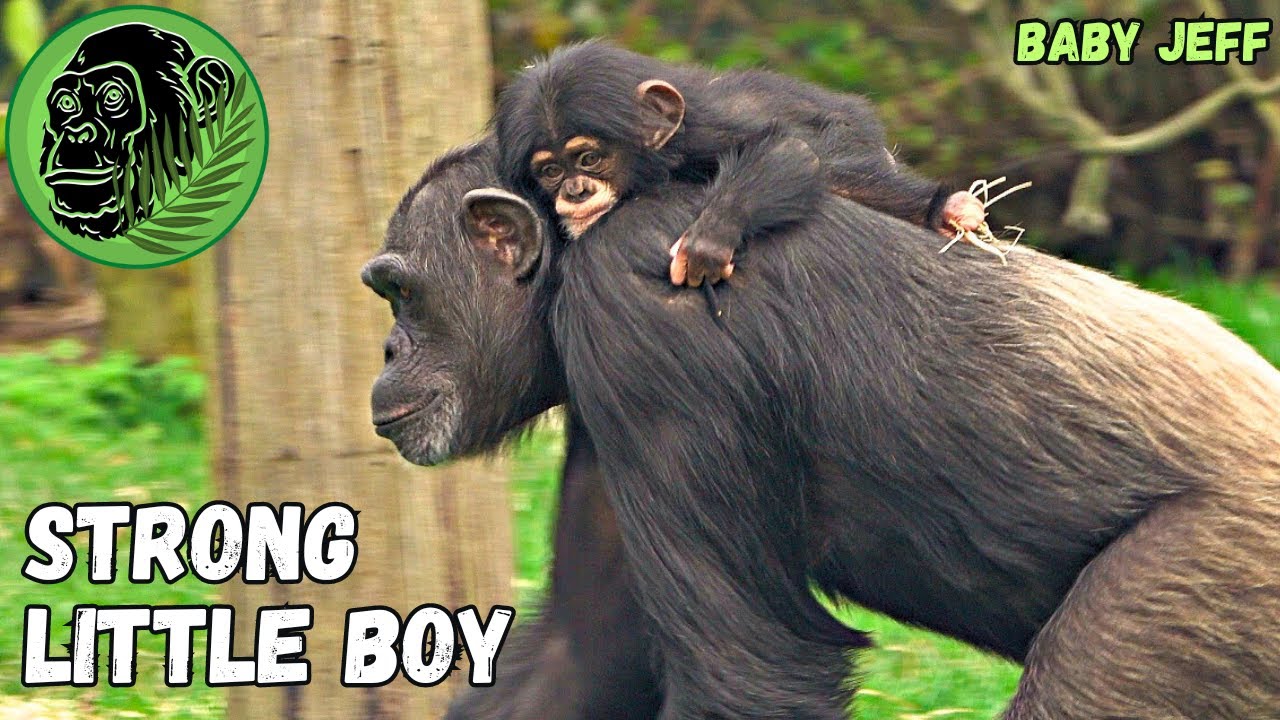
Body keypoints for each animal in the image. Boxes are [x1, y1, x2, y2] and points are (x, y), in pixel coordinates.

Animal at [365, 138, 1280, 719]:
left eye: (402, 293)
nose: (387, 347)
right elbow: (583, 653)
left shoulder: (641, 334)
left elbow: (751, 671)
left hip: (1202, 582)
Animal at [495, 41, 989, 288]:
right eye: (550, 171)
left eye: (589, 158)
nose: (575, 190)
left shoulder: (712, 132)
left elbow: (794, 149)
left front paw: (709, 238)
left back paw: (948, 210)